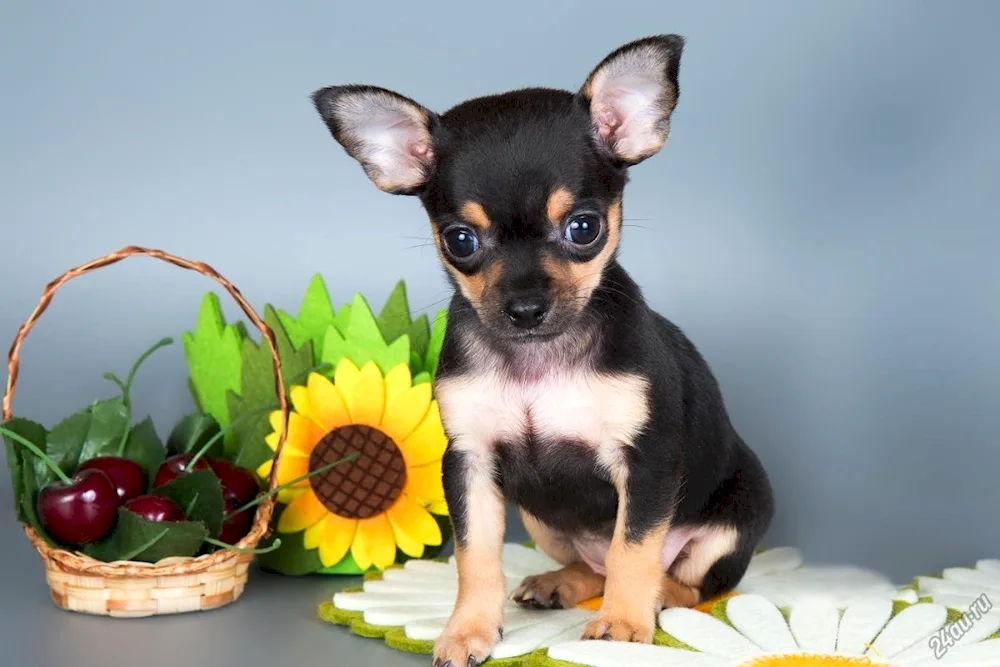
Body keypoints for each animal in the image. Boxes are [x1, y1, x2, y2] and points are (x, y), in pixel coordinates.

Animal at [310, 35, 772, 667]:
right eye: (460, 241)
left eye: (584, 228)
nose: (525, 308)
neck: (538, 359)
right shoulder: (471, 464)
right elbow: (475, 558)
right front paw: (468, 631)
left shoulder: (647, 465)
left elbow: (634, 550)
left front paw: (622, 628)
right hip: (541, 518)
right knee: (593, 565)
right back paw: (562, 583)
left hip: (724, 531)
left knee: (687, 581)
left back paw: (654, 600)